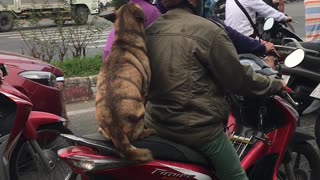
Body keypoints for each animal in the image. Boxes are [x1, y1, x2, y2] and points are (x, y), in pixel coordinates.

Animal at [94, 3, 154, 162]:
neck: (124, 38)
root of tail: (116, 131)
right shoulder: (145, 89)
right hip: (140, 114)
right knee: (136, 137)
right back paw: (148, 131)